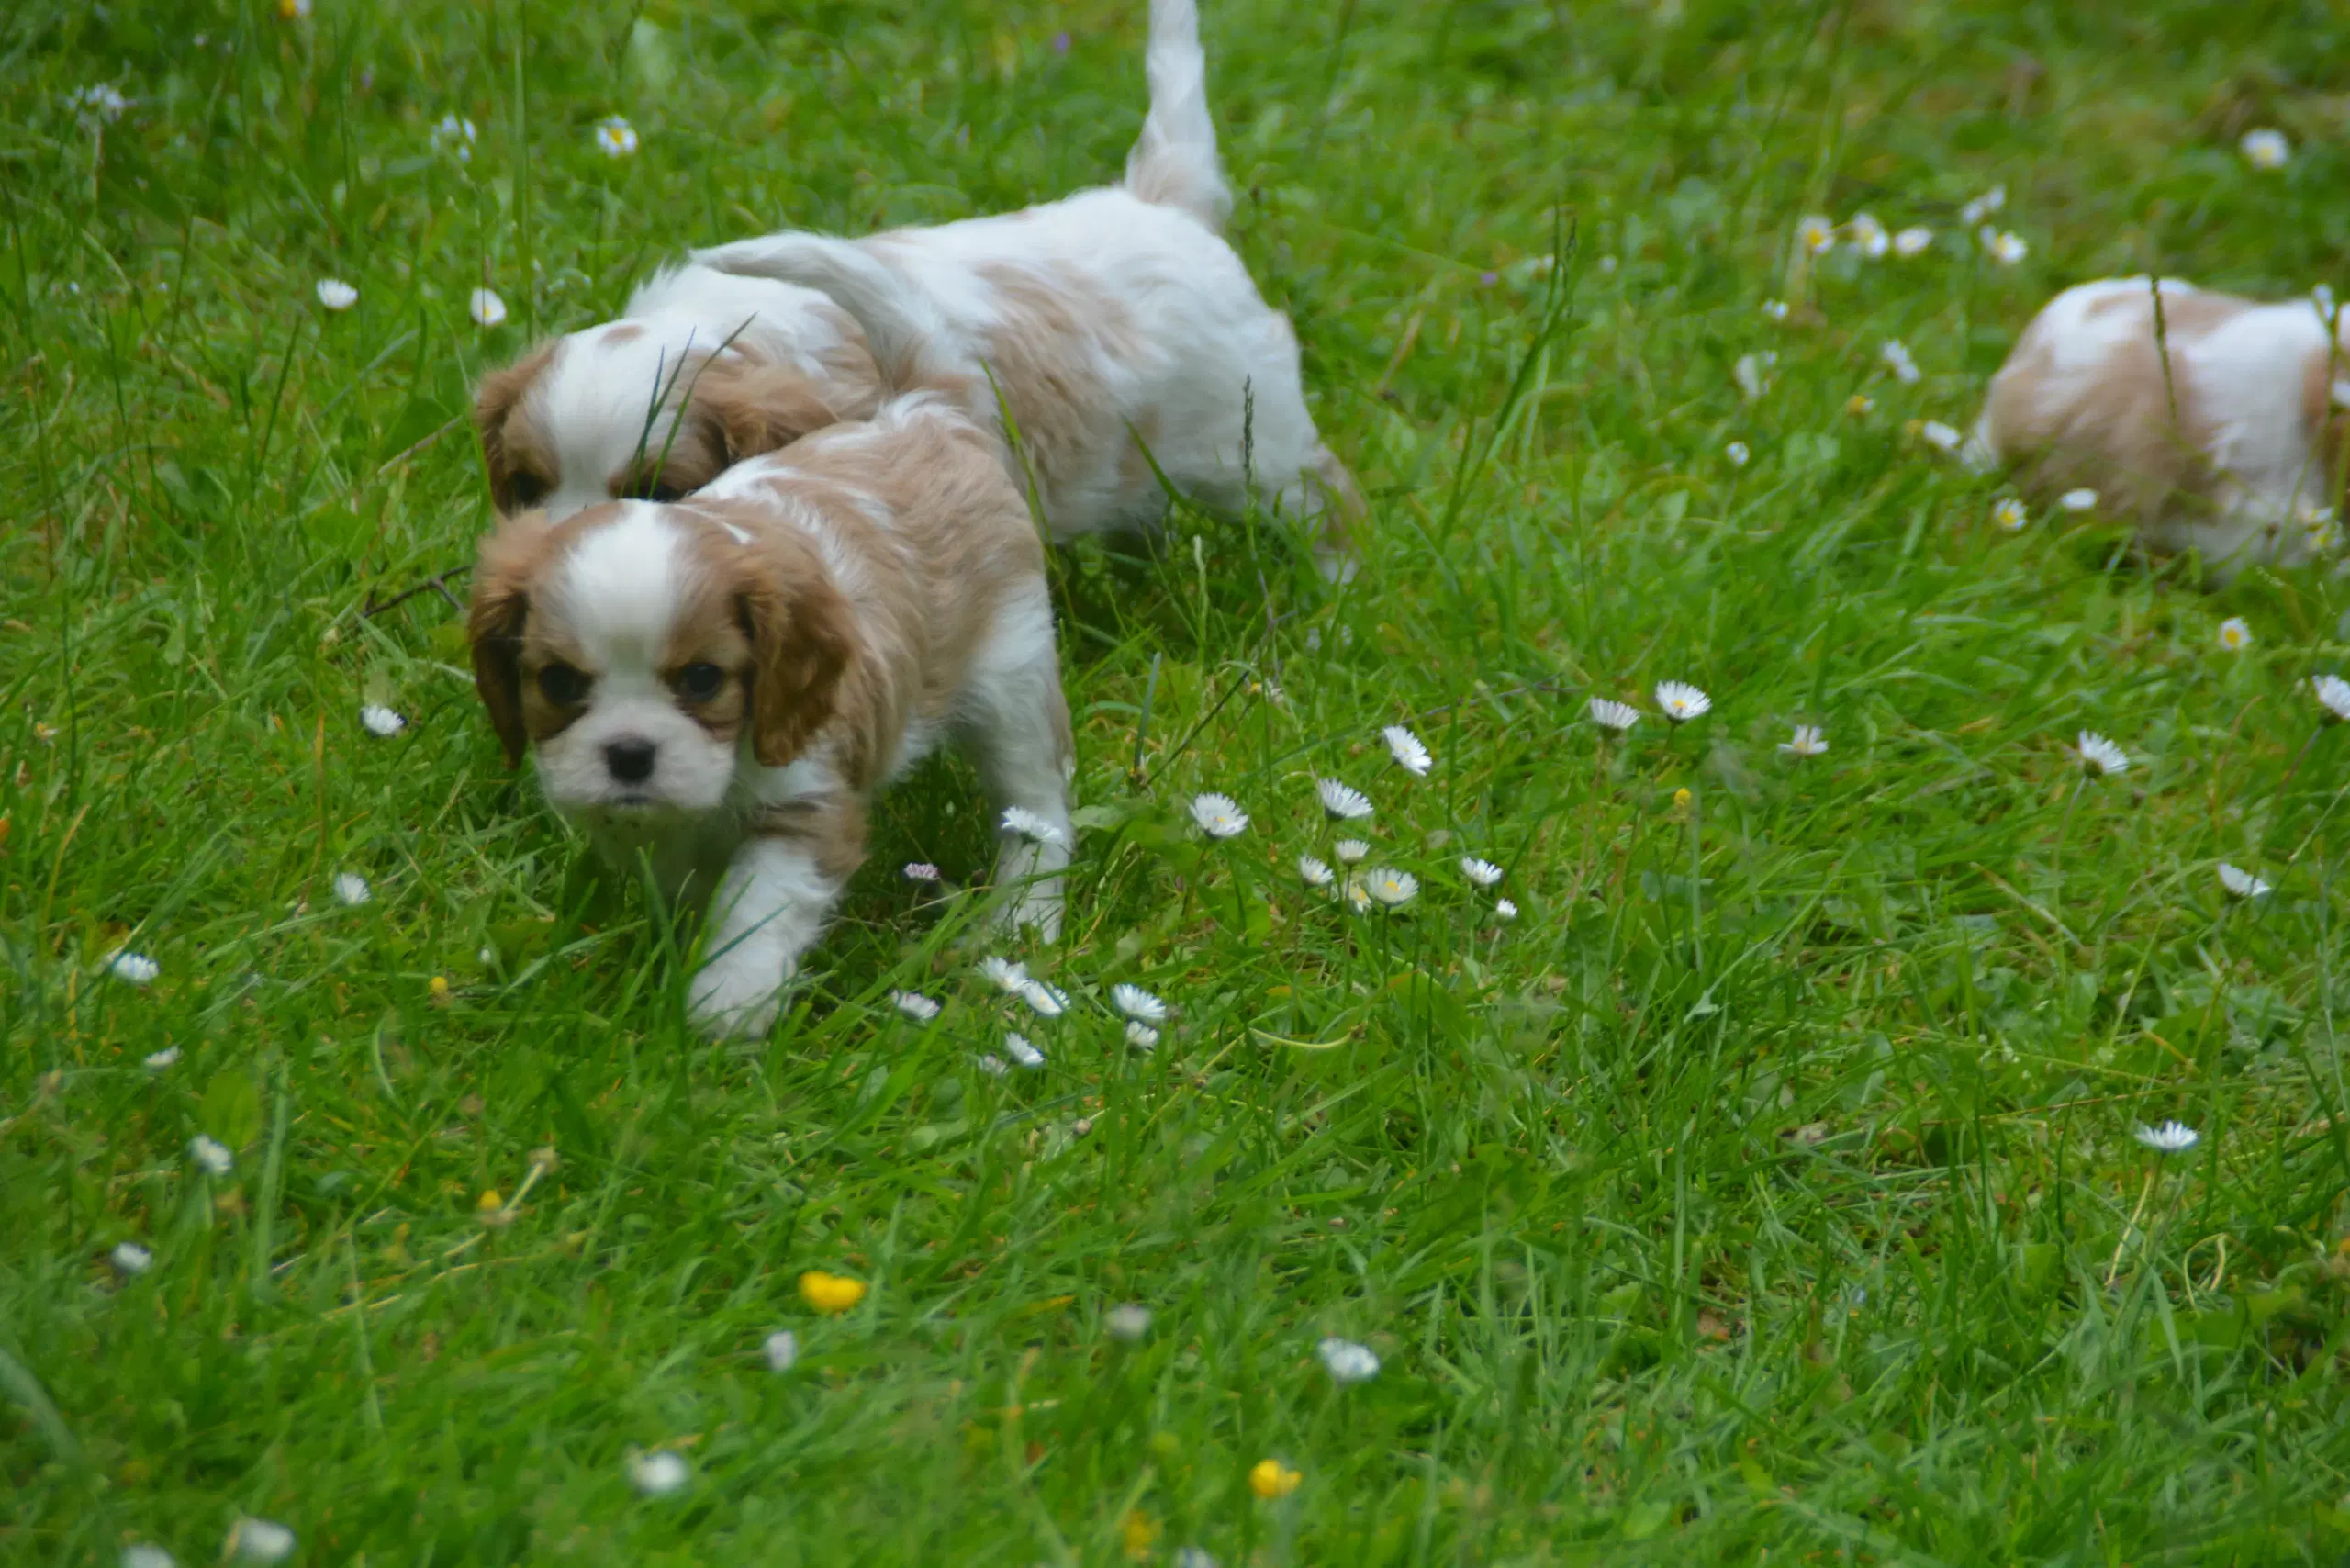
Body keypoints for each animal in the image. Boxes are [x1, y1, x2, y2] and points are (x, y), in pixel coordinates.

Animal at [467, 392, 1076, 1034]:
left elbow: (757, 906)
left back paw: (1020, 923)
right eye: (558, 682)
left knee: (1037, 811)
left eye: (703, 679)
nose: (629, 754)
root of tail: (928, 416)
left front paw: (728, 1003)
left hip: (1014, 681)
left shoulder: (807, 803)